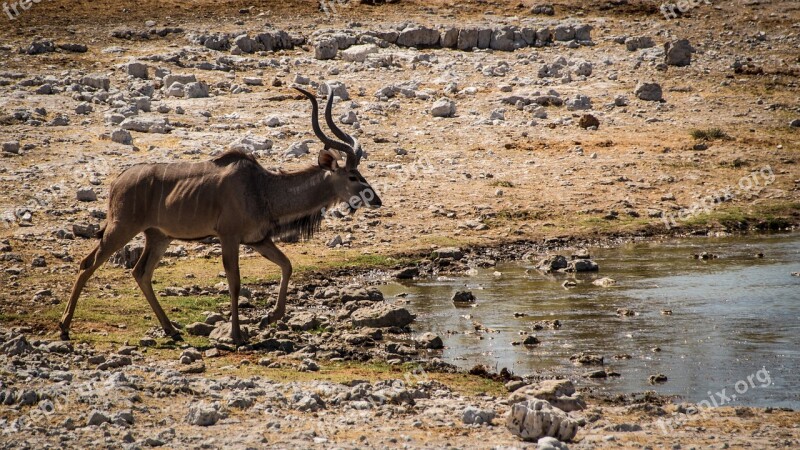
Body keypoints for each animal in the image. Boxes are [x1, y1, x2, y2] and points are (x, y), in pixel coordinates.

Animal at [57, 85, 382, 344]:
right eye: (353, 176)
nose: (376, 200)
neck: (262, 187)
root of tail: (117, 182)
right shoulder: (229, 238)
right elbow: (234, 282)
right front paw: (237, 335)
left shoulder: (258, 241)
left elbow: (287, 265)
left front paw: (268, 318)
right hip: (122, 229)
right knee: (88, 264)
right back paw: (64, 327)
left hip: (159, 237)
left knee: (141, 272)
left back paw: (171, 330)